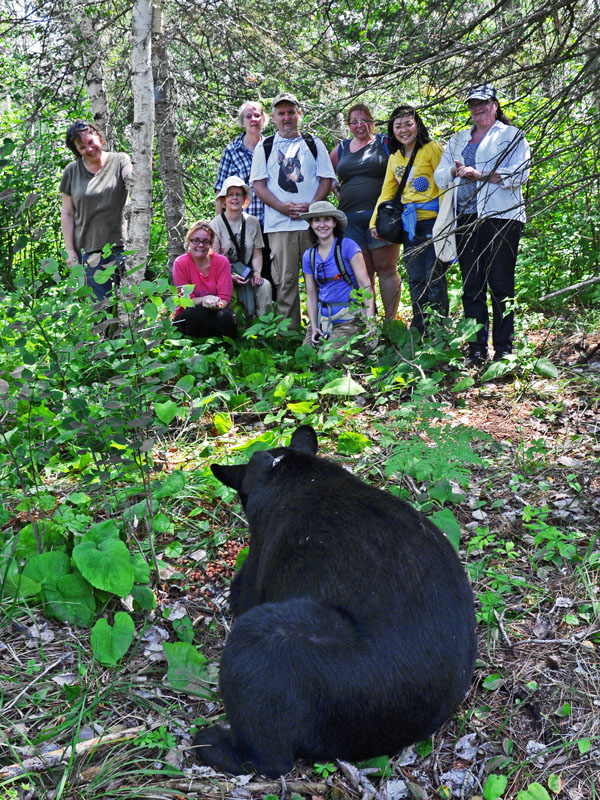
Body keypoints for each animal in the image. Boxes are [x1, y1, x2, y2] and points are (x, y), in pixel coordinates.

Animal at [192, 424, 477, 778]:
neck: (295, 474)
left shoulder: (258, 560)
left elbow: (241, 589)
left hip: (282, 640)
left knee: (270, 758)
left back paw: (211, 744)